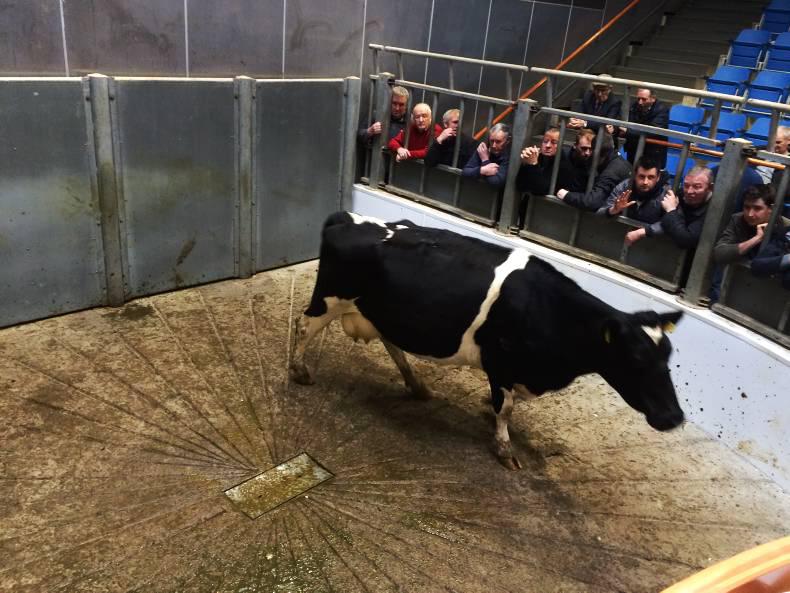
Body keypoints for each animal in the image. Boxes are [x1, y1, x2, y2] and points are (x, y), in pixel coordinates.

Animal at [291, 211, 685, 470]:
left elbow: (504, 404)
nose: (674, 416)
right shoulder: (500, 360)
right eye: (635, 358)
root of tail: (347, 217)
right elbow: (505, 407)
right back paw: (300, 370)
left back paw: (416, 385)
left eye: (667, 357)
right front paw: (504, 449)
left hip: (381, 310)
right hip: (330, 298)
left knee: (392, 343)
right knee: (303, 326)